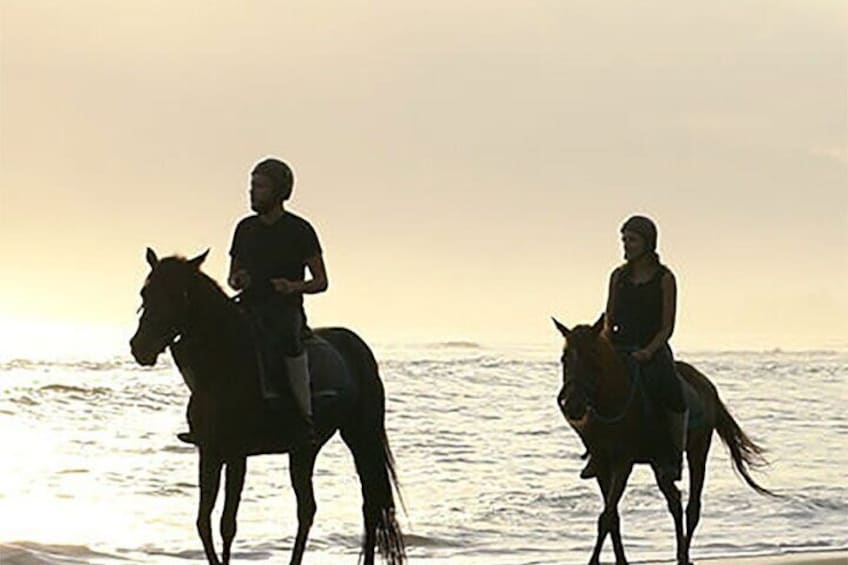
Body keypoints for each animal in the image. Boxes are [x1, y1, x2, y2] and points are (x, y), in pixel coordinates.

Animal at [127, 250, 406, 564]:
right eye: (145, 292)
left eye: (179, 295)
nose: (140, 347)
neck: (225, 364)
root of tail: (358, 346)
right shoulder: (209, 451)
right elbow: (203, 522)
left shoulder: (237, 454)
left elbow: (227, 524)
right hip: (304, 450)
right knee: (308, 509)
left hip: (361, 436)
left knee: (370, 504)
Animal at [548, 316, 776, 564]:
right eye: (564, 358)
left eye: (592, 356)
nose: (572, 404)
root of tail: (707, 385)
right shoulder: (602, 466)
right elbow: (612, 517)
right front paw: (620, 560)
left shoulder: (623, 462)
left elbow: (606, 517)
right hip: (659, 462)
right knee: (674, 501)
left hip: (697, 451)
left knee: (692, 508)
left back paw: (684, 555)